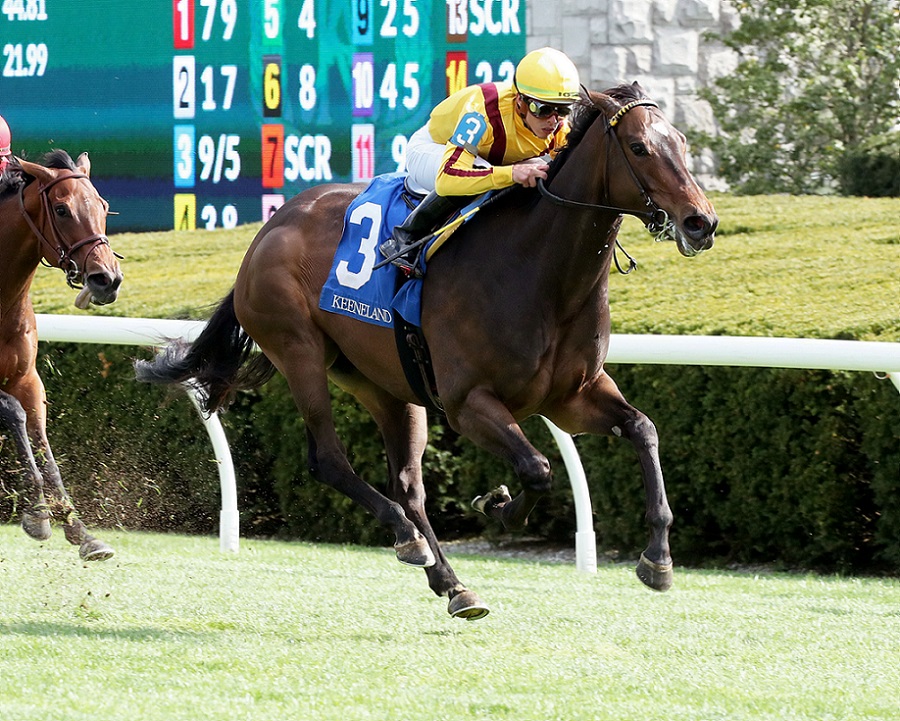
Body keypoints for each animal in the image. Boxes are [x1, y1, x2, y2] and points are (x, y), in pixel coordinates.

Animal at [0, 150, 123, 560]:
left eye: (103, 205)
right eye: (61, 209)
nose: (107, 279)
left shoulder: (28, 379)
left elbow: (41, 438)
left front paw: (79, 530)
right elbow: (14, 412)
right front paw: (38, 515)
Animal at [135, 83, 717, 618]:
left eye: (683, 143)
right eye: (639, 147)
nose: (702, 222)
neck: (540, 271)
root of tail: (268, 229)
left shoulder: (572, 398)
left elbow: (642, 429)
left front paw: (658, 558)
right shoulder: (468, 403)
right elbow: (537, 468)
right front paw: (499, 505)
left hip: (383, 383)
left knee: (409, 484)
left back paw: (452, 583)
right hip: (298, 351)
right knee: (329, 460)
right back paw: (408, 539)